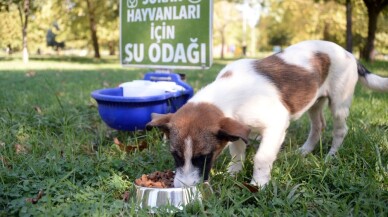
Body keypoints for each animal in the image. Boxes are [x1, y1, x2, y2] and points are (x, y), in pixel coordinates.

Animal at [146, 40, 388, 188]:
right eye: (175, 156)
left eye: (203, 157)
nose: (183, 188)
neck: (231, 92)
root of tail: (349, 54)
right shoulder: (237, 127)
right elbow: (237, 152)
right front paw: (234, 173)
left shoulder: (276, 124)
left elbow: (262, 157)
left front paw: (259, 184)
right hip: (314, 102)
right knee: (318, 125)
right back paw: (305, 151)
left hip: (339, 102)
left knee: (340, 129)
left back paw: (331, 156)